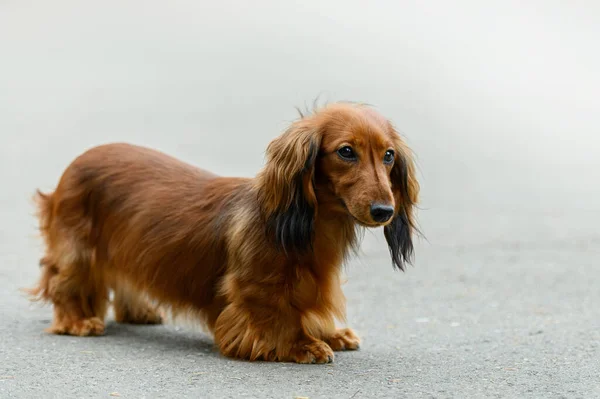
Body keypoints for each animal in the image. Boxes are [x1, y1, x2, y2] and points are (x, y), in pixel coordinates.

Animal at [28, 101, 420, 364]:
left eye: (388, 155)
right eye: (346, 151)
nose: (384, 212)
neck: (311, 224)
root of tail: (77, 162)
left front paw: (330, 333)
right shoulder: (255, 287)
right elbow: (278, 315)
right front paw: (302, 344)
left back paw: (138, 311)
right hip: (77, 251)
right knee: (63, 284)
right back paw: (77, 320)